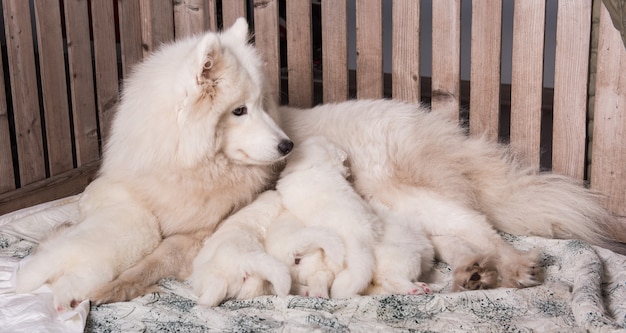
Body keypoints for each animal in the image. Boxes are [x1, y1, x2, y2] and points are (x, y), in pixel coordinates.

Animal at [14, 18, 292, 308]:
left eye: (262, 104)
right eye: (239, 110)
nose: (288, 145)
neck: (183, 166)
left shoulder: (197, 234)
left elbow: (153, 261)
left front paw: (117, 287)